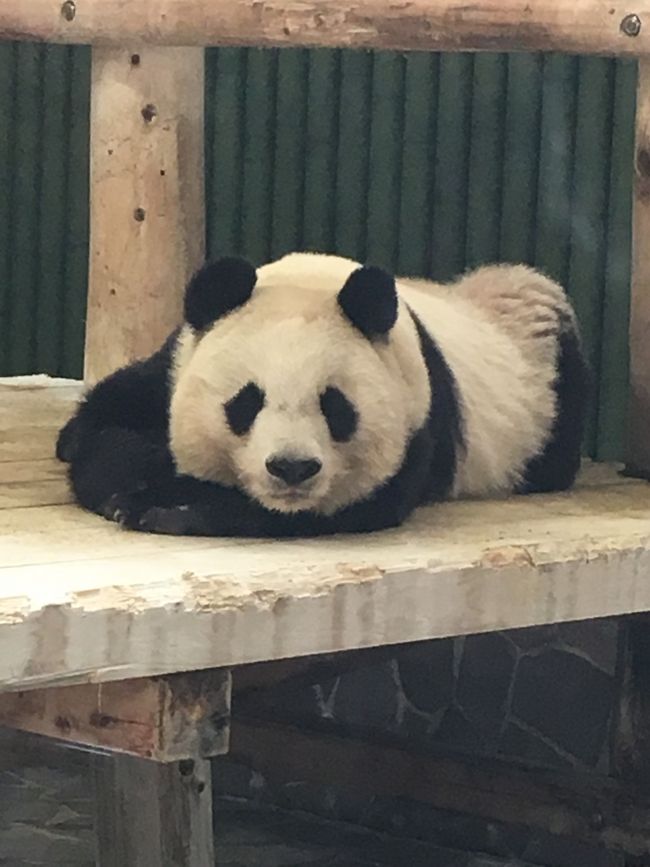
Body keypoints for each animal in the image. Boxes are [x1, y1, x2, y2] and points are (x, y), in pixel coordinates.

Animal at [57, 251, 588, 536]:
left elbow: (338, 509)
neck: (314, 282)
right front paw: (134, 485)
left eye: (336, 407)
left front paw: (174, 507)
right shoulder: (176, 360)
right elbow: (107, 429)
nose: (291, 468)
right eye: (246, 402)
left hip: (546, 400)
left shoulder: (416, 419)